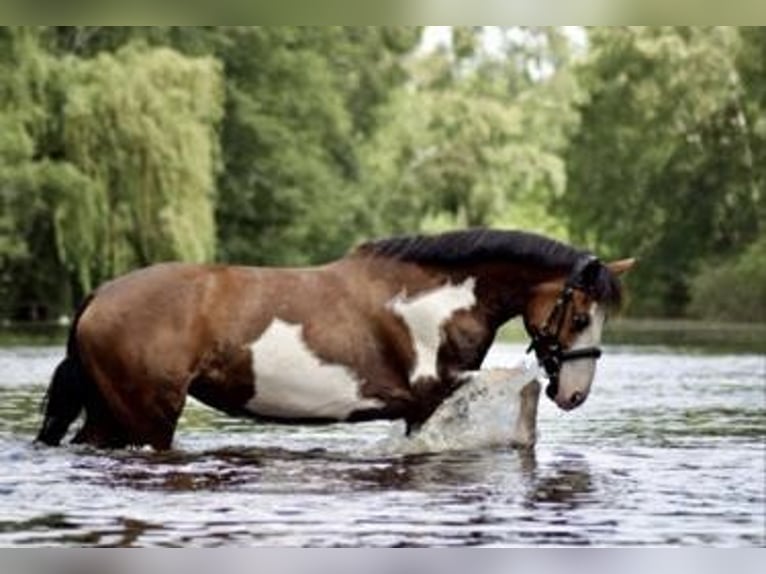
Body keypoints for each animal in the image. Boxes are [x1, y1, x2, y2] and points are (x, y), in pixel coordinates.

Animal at [34, 228, 636, 450]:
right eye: (579, 315)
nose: (575, 392)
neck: (430, 299)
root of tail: (99, 296)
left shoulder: (421, 405)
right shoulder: (432, 392)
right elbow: (523, 393)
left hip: (110, 414)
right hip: (147, 417)